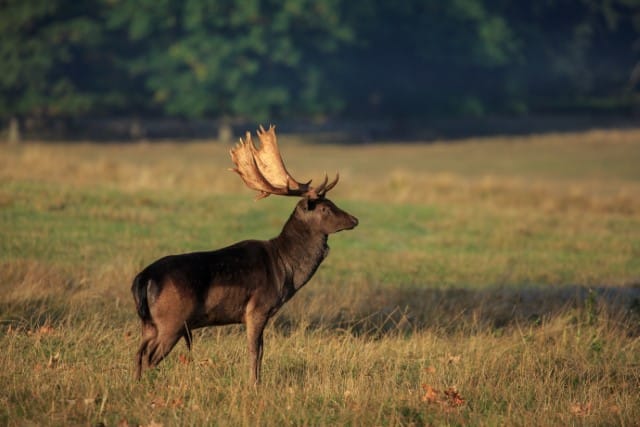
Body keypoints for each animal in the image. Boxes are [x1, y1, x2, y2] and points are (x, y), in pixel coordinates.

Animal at [132, 123, 358, 384]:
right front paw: (254, 384)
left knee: (138, 352)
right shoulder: (257, 307)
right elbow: (254, 350)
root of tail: (143, 278)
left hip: (149, 323)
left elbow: (260, 351)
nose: (354, 219)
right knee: (150, 356)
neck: (285, 268)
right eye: (325, 208)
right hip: (172, 320)